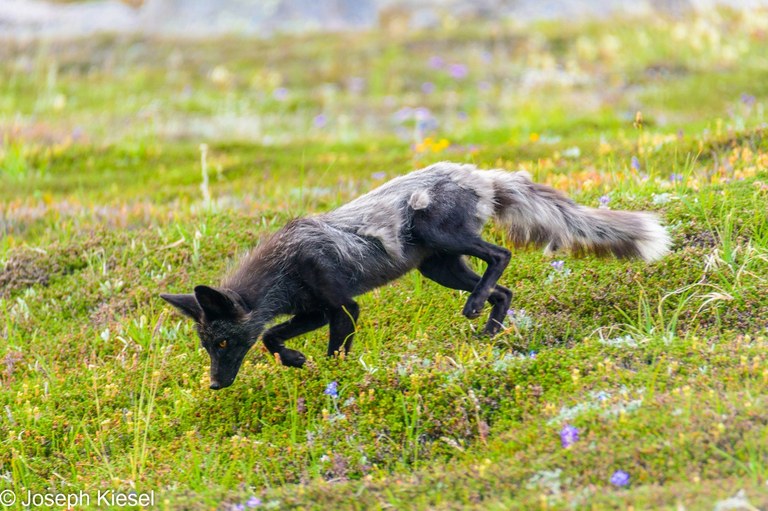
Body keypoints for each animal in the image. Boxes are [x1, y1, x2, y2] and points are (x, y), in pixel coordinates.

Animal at [161, 162, 671, 389]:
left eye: (222, 343)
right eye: (207, 346)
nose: (214, 385)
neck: (286, 266)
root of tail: (479, 173)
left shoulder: (342, 305)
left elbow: (333, 350)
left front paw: (332, 380)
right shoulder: (313, 309)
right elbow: (270, 336)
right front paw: (294, 360)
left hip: (439, 237)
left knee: (501, 255)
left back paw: (476, 311)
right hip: (439, 267)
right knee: (503, 289)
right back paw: (489, 330)